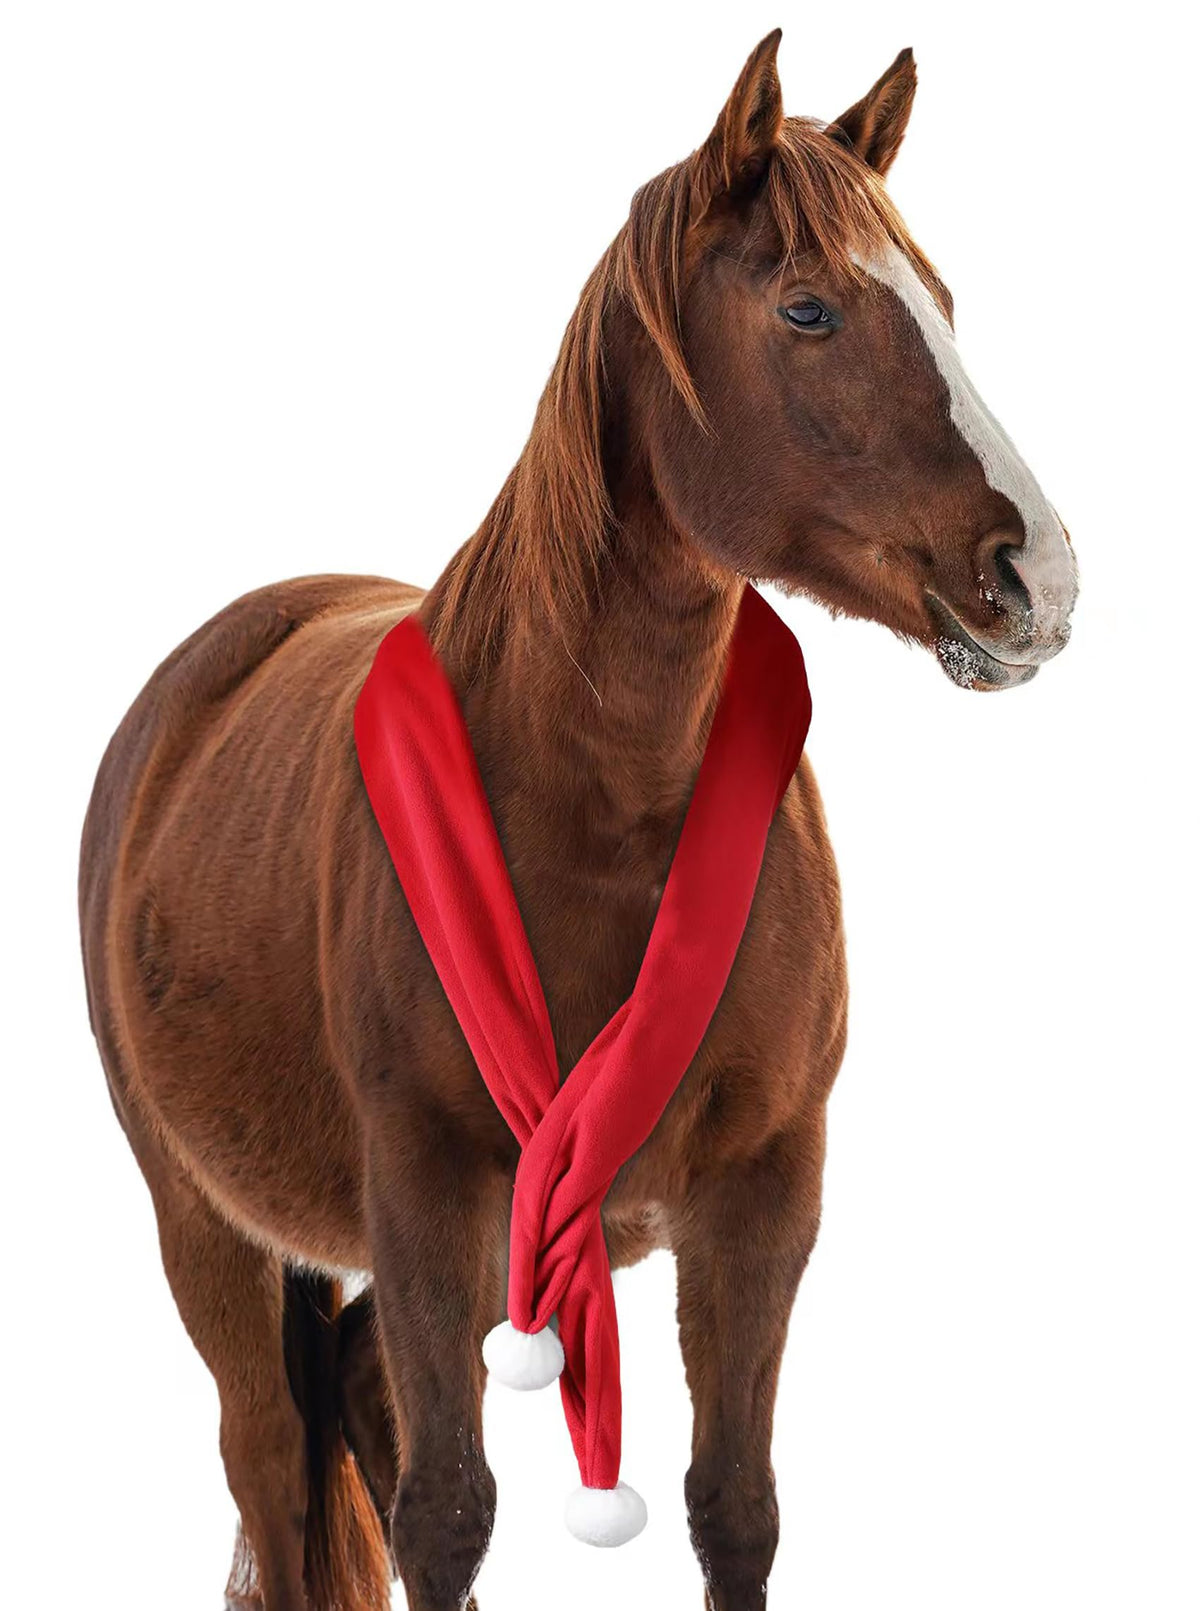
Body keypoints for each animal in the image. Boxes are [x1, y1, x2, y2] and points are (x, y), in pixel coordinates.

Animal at [79, 32, 1077, 1611]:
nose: (1039, 574)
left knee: (351, 1394)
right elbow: (442, 1511)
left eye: (944, 304)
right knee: (274, 1463)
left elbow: (735, 1506)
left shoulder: (763, 1192)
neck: (602, 804)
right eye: (808, 306)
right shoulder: (425, 1189)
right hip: (207, 1227)